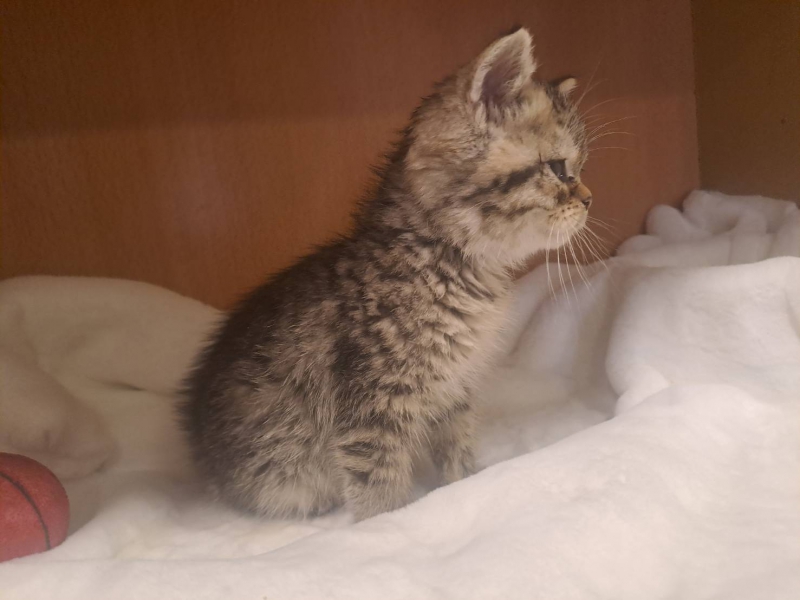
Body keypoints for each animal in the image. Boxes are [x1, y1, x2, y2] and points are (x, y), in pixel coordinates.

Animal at [181, 27, 591, 521]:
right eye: (560, 168)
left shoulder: (454, 385)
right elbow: (377, 482)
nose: (589, 200)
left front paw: (464, 485)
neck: (445, 261)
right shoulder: (371, 403)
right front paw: (388, 526)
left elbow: (456, 444)